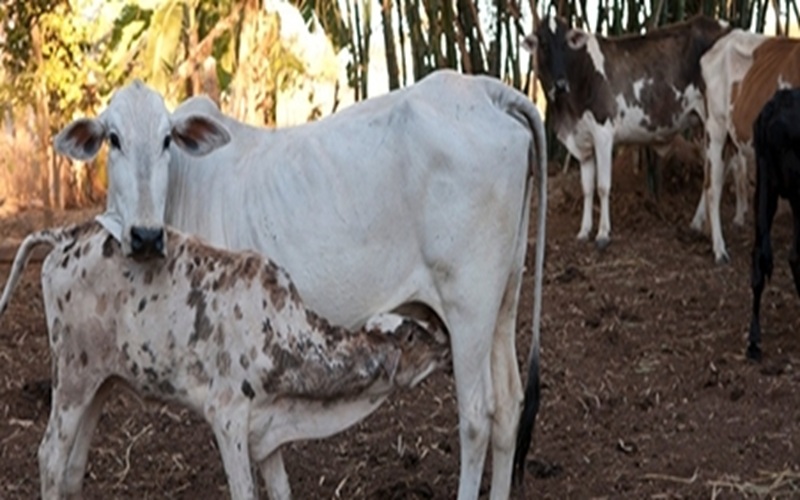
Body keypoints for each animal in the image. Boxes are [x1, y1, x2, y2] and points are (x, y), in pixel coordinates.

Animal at [0, 220, 450, 499]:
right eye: (413, 335)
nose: (447, 343)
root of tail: (69, 233)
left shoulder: (266, 432)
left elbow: (282, 491)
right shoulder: (227, 416)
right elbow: (243, 491)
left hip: (101, 380)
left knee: (73, 468)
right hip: (72, 376)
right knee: (50, 457)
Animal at [52, 69, 549, 499]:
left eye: (166, 140)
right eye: (113, 139)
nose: (145, 237)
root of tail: (486, 90)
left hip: (469, 308)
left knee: (477, 416)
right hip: (504, 299)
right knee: (509, 407)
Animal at [522, 15, 732, 249]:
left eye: (566, 43)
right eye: (543, 44)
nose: (560, 84)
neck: (568, 110)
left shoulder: (603, 132)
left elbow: (603, 186)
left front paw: (603, 234)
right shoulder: (582, 141)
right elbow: (587, 188)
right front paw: (584, 231)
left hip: (716, 119)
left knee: (717, 171)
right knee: (714, 169)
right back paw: (697, 224)